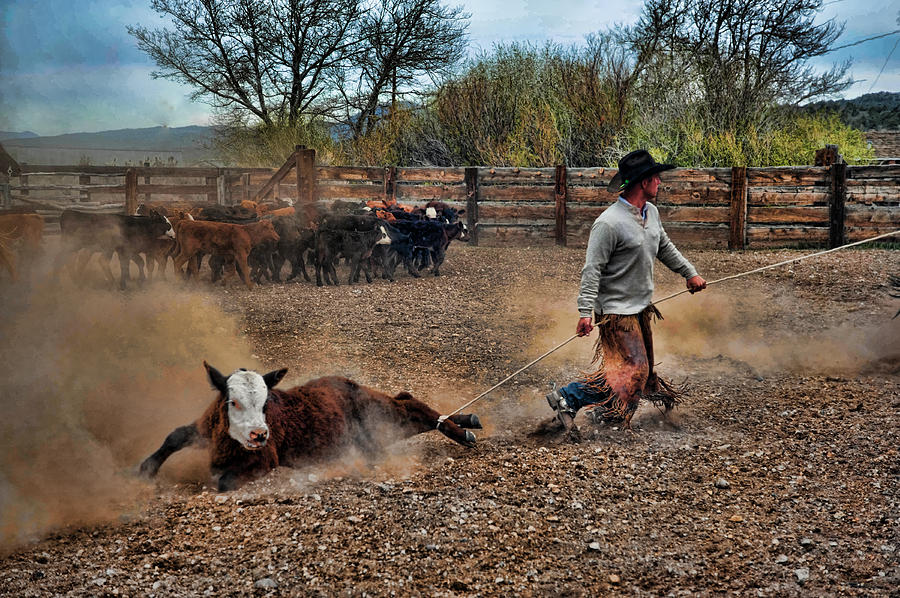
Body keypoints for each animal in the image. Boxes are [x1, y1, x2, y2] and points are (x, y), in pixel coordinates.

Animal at [139, 362, 482, 491]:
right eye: (232, 402)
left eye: (266, 402)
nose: (260, 434)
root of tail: (350, 384)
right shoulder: (205, 428)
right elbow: (175, 435)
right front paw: (144, 470)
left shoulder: (265, 459)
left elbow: (223, 482)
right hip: (377, 433)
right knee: (407, 403)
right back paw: (466, 420)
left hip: (382, 416)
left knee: (410, 404)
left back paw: (461, 430)